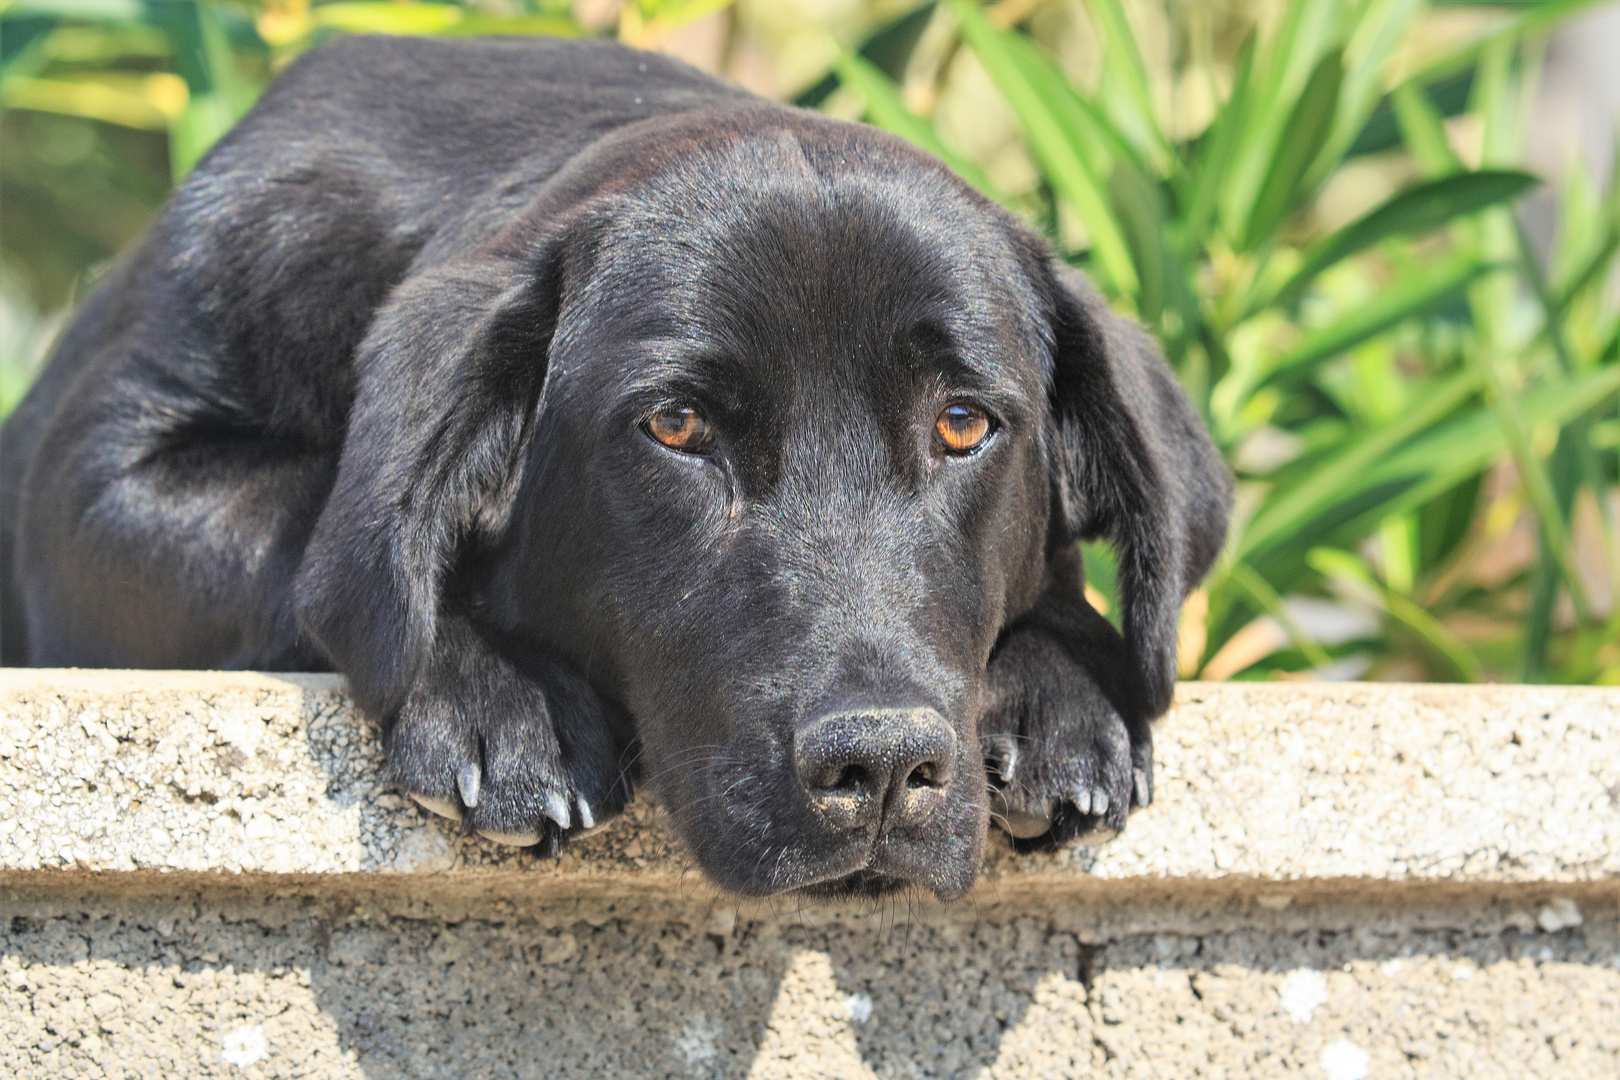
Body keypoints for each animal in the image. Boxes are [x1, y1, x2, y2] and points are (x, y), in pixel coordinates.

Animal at [0, 35, 1224, 893]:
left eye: (964, 425)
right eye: (675, 427)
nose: (880, 769)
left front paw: (1063, 690)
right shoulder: (95, 505)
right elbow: (323, 536)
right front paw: (506, 693)